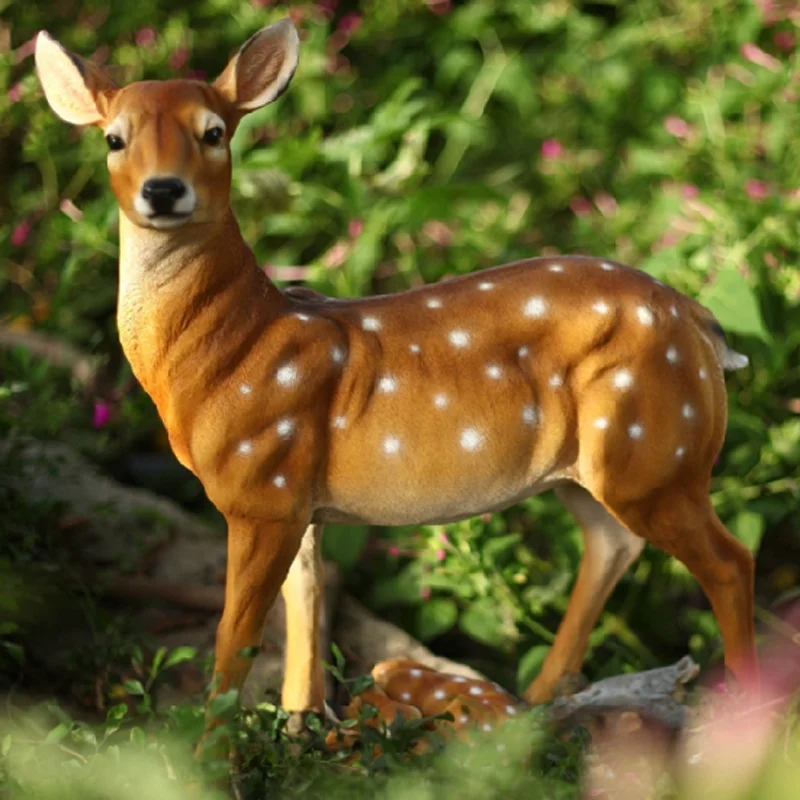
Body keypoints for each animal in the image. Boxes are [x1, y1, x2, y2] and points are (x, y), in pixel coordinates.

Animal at [36, 15, 756, 744]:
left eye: (213, 132)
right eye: (114, 138)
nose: (162, 190)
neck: (235, 347)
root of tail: (700, 324)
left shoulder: (261, 488)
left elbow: (236, 635)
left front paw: (210, 749)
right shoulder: (295, 498)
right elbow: (305, 605)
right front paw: (301, 725)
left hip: (657, 451)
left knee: (730, 561)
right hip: (589, 470)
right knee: (612, 544)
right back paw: (535, 707)